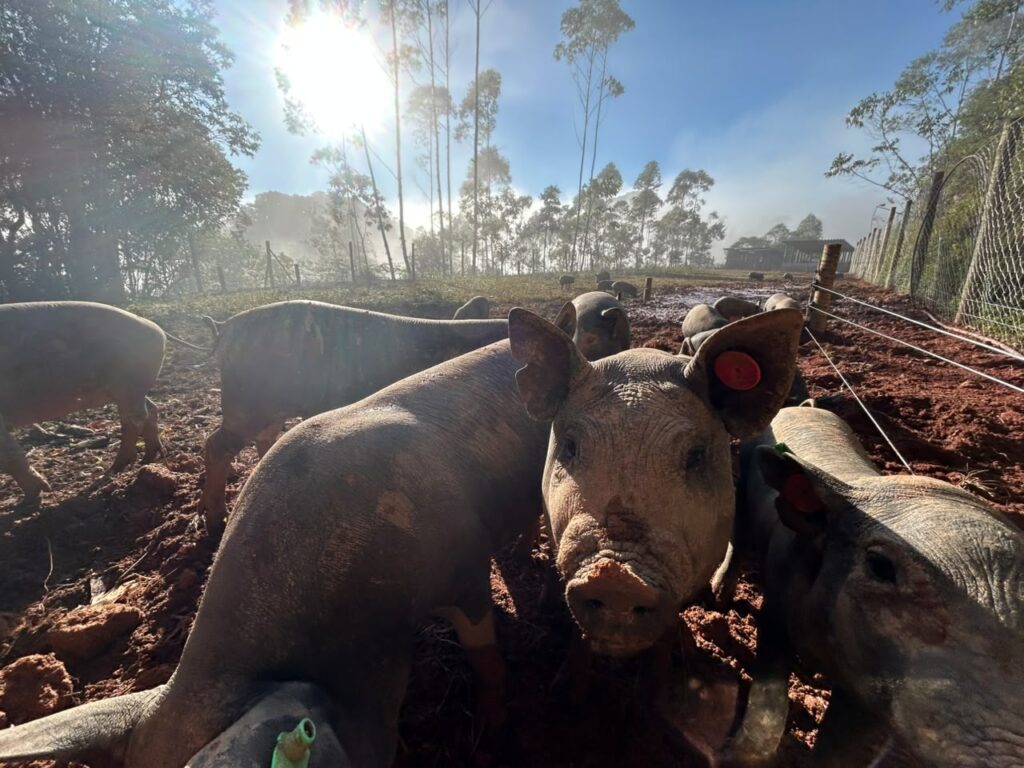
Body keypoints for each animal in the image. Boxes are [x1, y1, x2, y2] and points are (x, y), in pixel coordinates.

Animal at [0, 301, 166, 503]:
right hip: (129, 390)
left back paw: (113, 470)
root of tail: (157, 329)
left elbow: (8, 457)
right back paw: (148, 459)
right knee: (151, 410)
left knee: (134, 420)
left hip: (128, 383)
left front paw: (29, 501)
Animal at [198, 300, 510, 530]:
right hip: (246, 404)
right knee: (215, 446)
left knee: (263, 439)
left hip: (268, 409)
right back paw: (216, 522)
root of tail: (225, 327)